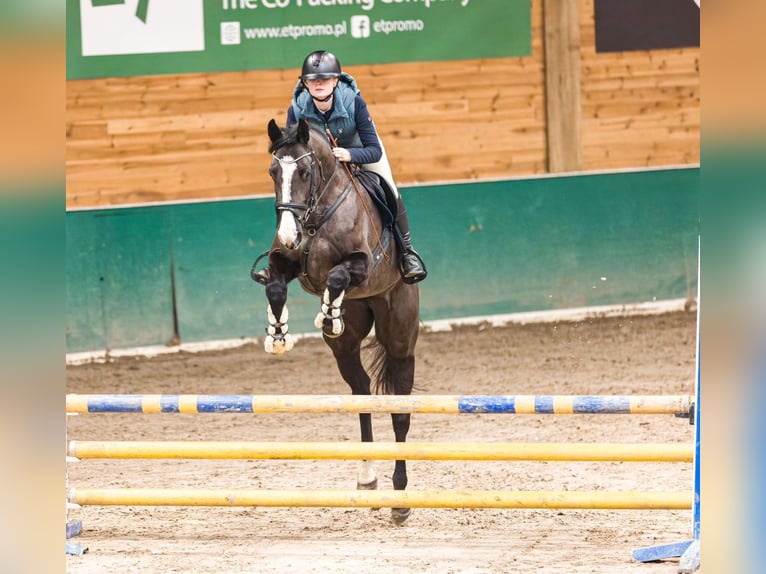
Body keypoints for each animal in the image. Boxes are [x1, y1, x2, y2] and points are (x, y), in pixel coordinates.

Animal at [252, 119, 420, 524]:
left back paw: (401, 496)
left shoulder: (363, 263)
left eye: (304, 172)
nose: (289, 234)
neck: (315, 218)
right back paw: (367, 477)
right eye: (273, 172)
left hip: (400, 337)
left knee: (400, 412)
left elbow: (339, 275)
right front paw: (278, 335)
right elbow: (276, 287)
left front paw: (328, 310)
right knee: (362, 394)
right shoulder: (284, 262)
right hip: (346, 348)